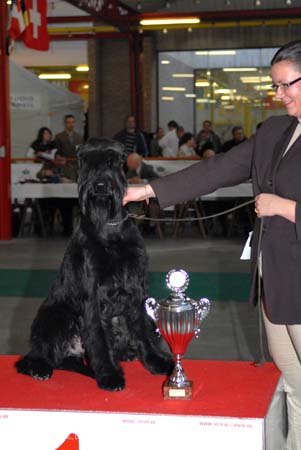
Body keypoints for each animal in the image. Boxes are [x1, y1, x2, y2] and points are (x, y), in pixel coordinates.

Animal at [15, 139, 172, 392]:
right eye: (85, 161)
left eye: (113, 160)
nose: (99, 185)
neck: (109, 227)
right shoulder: (93, 293)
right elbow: (98, 336)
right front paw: (109, 375)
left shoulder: (136, 288)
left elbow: (142, 329)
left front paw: (155, 361)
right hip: (55, 317)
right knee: (36, 355)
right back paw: (39, 368)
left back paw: (125, 354)